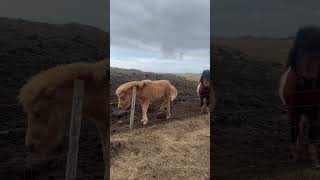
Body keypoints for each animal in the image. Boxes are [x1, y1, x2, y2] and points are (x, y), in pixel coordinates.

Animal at [280, 25, 320, 167]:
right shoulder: (293, 111)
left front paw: (315, 160)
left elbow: (313, 133)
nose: (308, 81)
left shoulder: (315, 112)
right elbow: (294, 131)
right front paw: (293, 156)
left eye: (319, 51)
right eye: (300, 50)